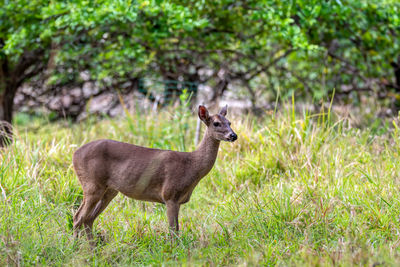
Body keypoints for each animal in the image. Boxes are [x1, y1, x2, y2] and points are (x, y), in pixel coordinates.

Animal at [72, 105, 238, 244]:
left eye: (229, 122)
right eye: (216, 123)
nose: (233, 135)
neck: (190, 166)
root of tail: (74, 154)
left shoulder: (177, 200)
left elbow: (176, 229)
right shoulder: (170, 194)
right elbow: (173, 230)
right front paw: (174, 251)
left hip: (109, 190)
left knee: (88, 219)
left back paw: (92, 248)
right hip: (92, 184)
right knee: (78, 217)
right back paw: (76, 247)